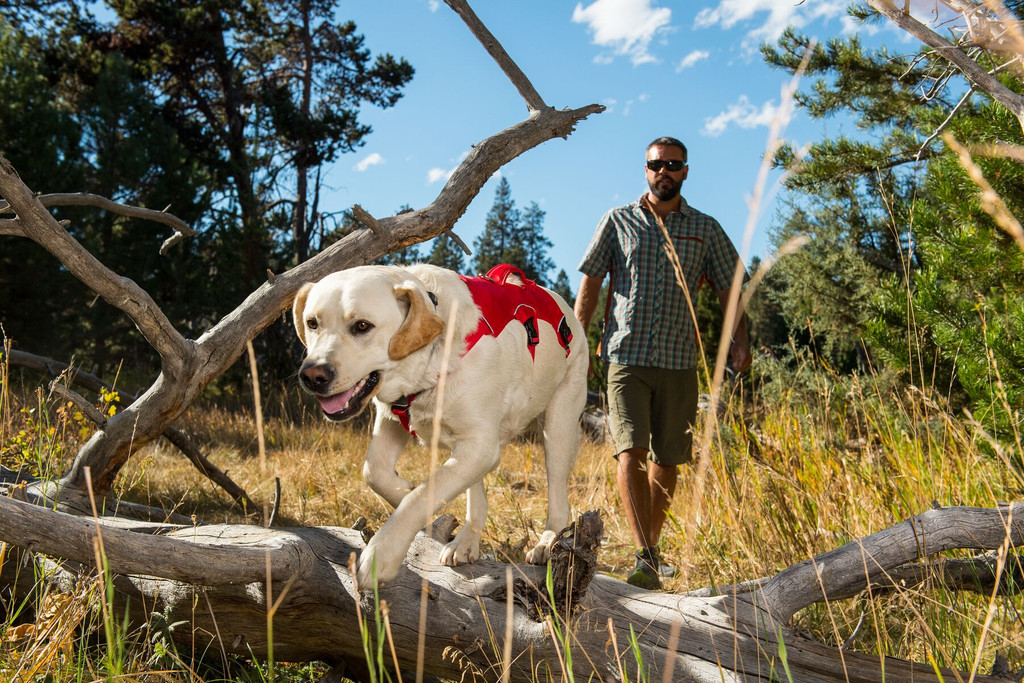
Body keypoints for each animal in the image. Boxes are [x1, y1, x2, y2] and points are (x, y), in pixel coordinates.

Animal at [292, 264, 589, 589]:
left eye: (361, 326)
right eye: (312, 323)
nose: (312, 375)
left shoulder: (480, 447)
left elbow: (419, 498)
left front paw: (381, 555)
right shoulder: (393, 419)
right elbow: (376, 472)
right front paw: (404, 491)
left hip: (558, 423)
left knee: (558, 494)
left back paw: (546, 542)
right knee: (476, 494)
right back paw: (466, 541)